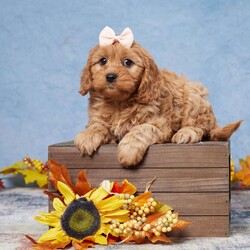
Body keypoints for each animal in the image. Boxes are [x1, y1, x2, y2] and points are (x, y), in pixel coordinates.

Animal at [74, 26, 242, 168]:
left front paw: (129, 150)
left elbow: (141, 129)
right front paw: (87, 136)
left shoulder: (160, 124)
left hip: (193, 97)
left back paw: (185, 133)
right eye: (103, 61)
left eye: (127, 62)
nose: (110, 76)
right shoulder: (99, 118)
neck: (119, 102)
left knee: (200, 127)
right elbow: (97, 125)